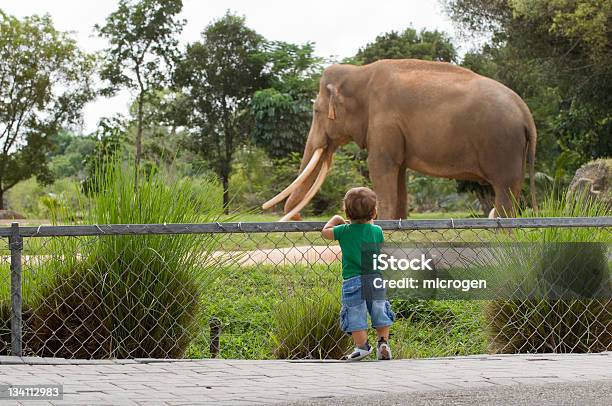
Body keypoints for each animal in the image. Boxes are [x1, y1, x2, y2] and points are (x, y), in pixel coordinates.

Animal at [262, 58, 536, 220]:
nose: (296, 218)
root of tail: (526, 114)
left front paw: (382, 223)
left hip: (502, 145)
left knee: (504, 187)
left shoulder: (384, 122)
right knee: (513, 187)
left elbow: (380, 167)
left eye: (316, 111)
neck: (360, 73)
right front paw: (400, 224)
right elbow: (399, 172)